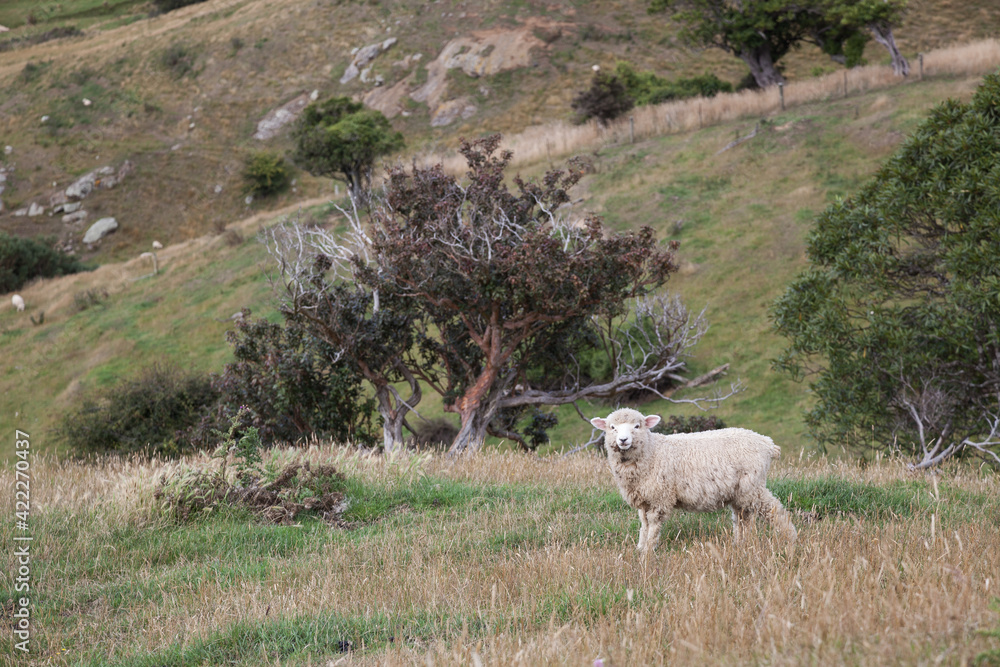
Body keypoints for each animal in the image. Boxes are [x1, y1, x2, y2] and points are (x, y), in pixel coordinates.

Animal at [590, 408, 797, 553]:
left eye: (637, 426)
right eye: (612, 427)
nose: (623, 440)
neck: (652, 451)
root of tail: (767, 443)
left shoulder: (660, 497)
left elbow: (654, 525)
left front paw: (648, 551)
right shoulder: (645, 499)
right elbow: (644, 524)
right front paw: (640, 548)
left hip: (752, 486)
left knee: (774, 510)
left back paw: (790, 538)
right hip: (739, 491)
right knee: (742, 518)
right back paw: (740, 545)